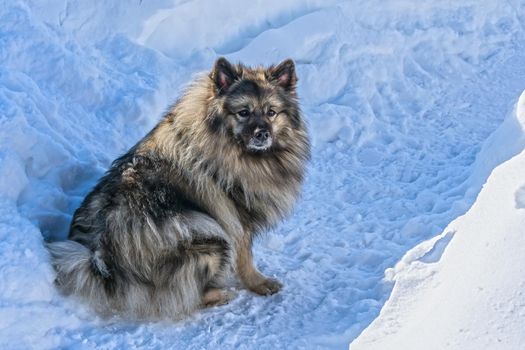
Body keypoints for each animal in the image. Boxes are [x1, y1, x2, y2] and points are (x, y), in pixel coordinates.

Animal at [47, 58, 310, 320]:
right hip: (210, 236)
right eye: (243, 112)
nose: (262, 134)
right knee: (189, 295)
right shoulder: (238, 223)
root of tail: (104, 260)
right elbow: (246, 260)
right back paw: (220, 295)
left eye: (271, 112)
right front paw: (259, 283)